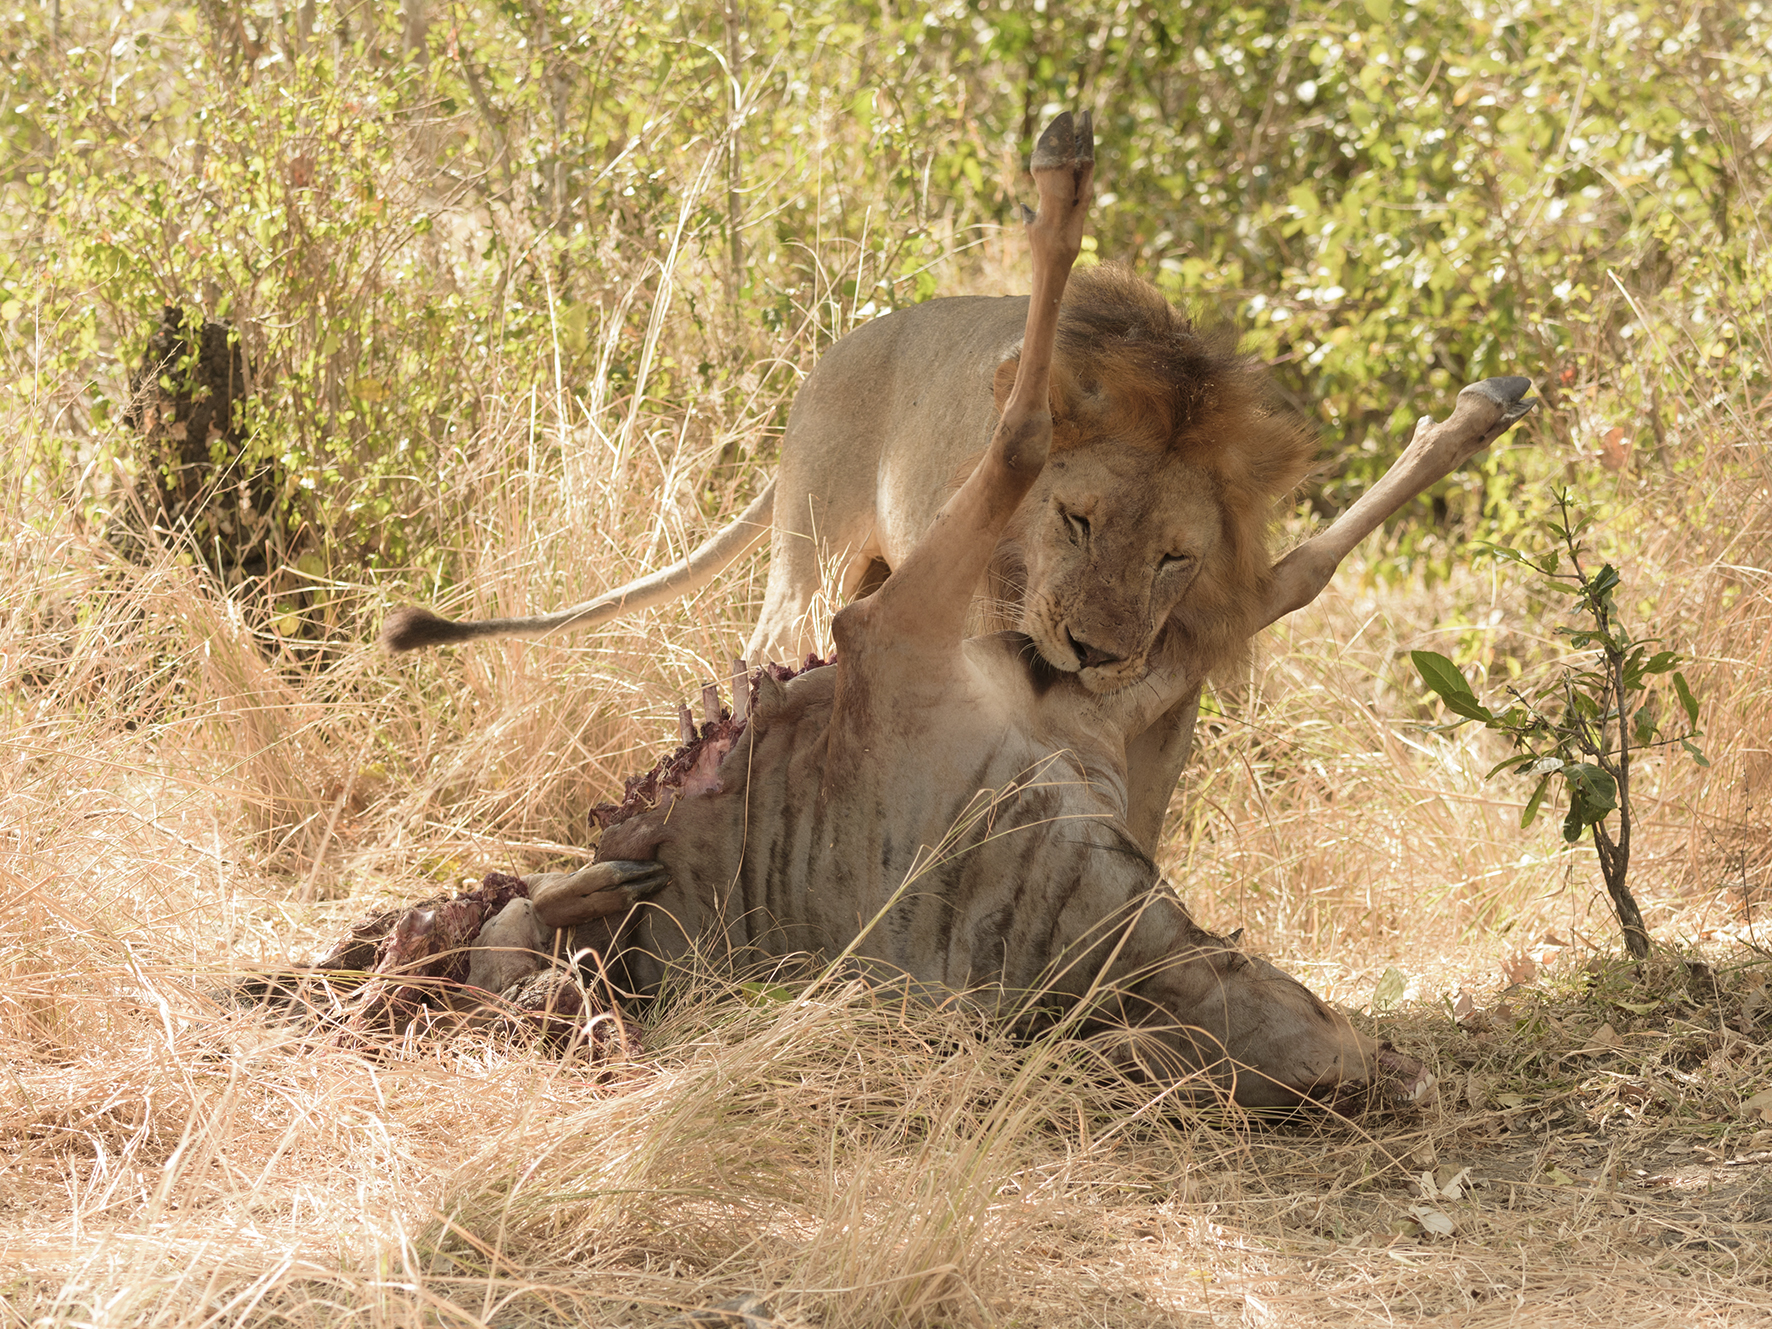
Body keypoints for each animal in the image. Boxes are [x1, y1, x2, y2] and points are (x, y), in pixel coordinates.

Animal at [368, 114, 1534, 1109]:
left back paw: (1477, 407)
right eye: (1074, 521)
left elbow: (1248, 585)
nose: (1090, 646)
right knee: (1048, 454)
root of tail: (822, 373)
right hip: (859, 601)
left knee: (1260, 576)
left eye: (1170, 555)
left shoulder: (1114, 682)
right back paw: (1067, 185)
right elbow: (1056, 453)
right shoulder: (961, 652)